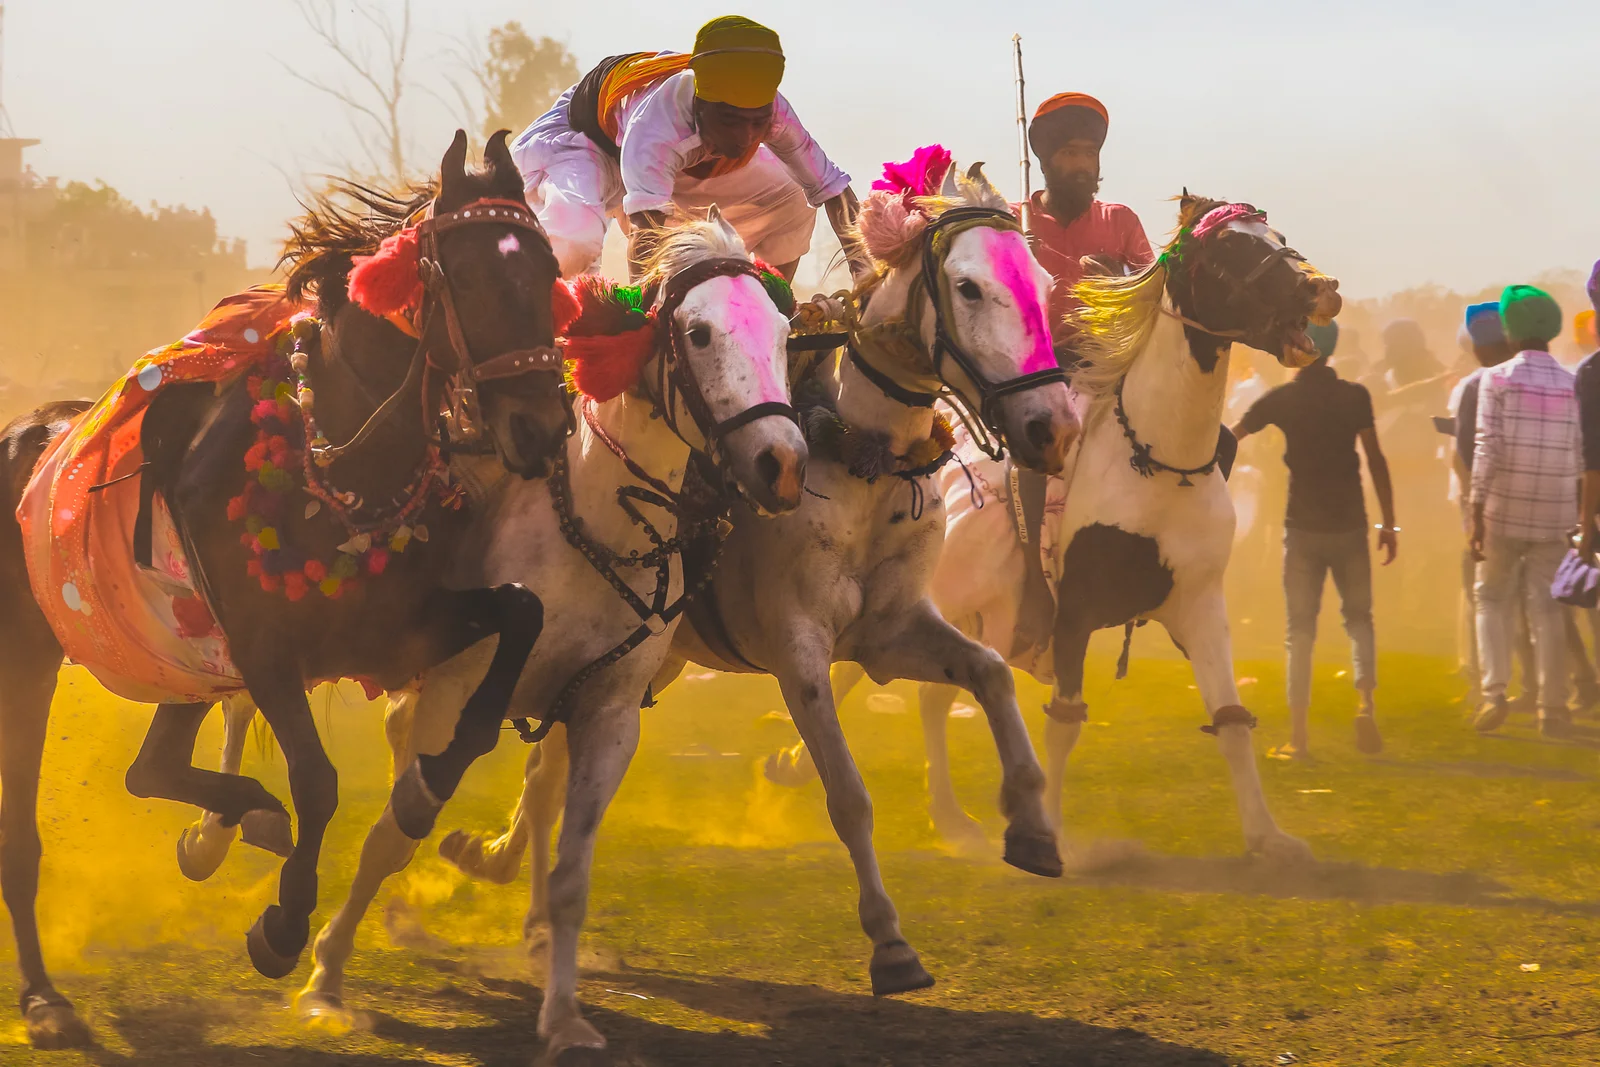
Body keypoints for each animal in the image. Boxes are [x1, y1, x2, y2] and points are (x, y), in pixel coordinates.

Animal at [0, 129, 569, 1049]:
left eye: (549, 268)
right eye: (471, 274)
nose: (541, 429)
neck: (336, 459)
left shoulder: (396, 628)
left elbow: (521, 611)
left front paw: (428, 782)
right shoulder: (267, 650)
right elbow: (319, 780)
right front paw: (283, 922)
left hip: (184, 661)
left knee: (151, 770)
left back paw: (239, 819)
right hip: (31, 658)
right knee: (30, 827)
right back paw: (46, 995)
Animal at [435, 154, 1075, 998]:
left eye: (1041, 278)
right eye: (968, 287)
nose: (1053, 426)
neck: (860, 459)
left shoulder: (889, 631)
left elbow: (991, 671)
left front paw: (1032, 826)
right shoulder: (797, 648)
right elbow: (848, 793)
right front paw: (890, 942)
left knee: (549, 769)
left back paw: (519, 894)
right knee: (546, 772)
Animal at [774, 198, 1337, 870]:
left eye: (1276, 235)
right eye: (1232, 248)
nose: (1322, 289)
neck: (1158, 460)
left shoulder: (1200, 604)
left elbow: (1230, 719)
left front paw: (1267, 836)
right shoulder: (1073, 612)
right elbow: (1064, 722)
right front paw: (1055, 832)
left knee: (932, 699)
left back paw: (948, 818)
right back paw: (802, 766)